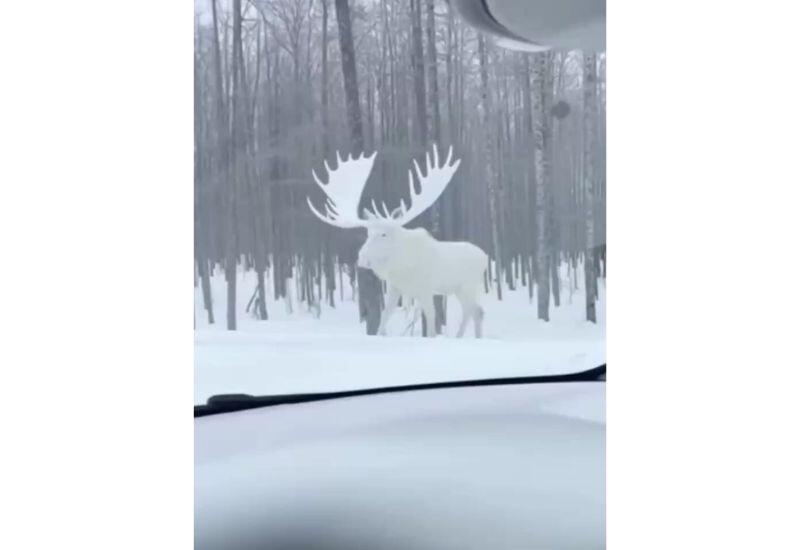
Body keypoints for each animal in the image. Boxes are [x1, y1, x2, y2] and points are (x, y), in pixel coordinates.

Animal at [306, 144, 488, 338]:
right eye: (368, 232)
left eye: (384, 234)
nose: (362, 258)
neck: (402, 267)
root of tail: (485, 257)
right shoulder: (395, 288)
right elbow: (385, 315)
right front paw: (380, 333)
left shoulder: (426, 289)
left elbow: (431, 321)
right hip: (459, 289)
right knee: (475, 311)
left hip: (468, 286)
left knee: (474, 311)